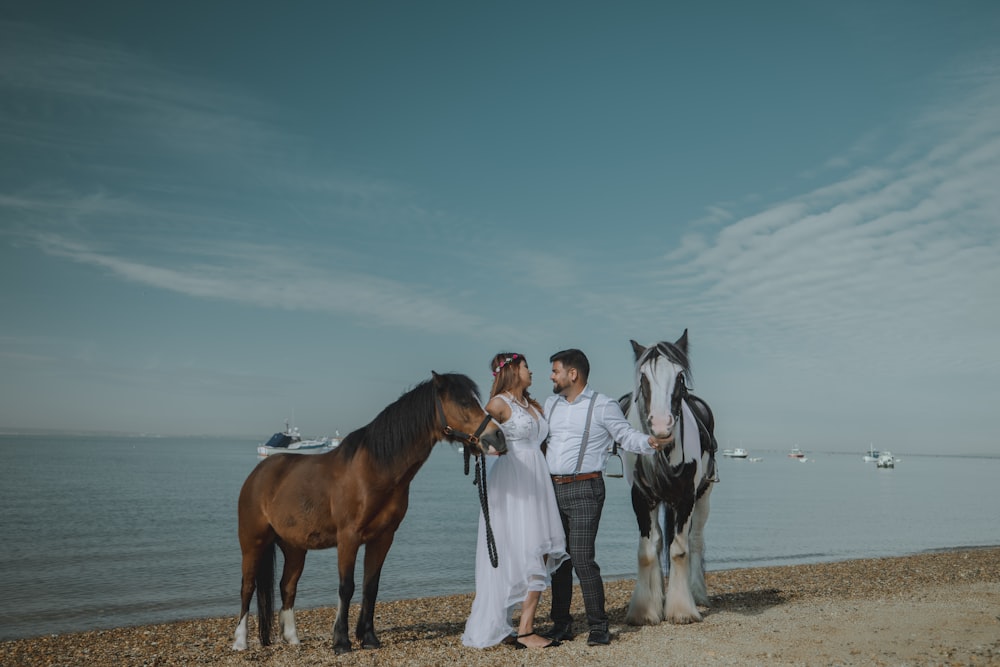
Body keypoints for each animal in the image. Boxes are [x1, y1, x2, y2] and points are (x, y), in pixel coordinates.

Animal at [230, 374, 504, 656]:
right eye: (462, 402)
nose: (497, 437)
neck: (373, 471)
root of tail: (258, 473)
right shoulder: (348, 538)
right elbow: (346, 587)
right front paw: (341, 641)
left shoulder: (382, 538)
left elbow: (371, 586)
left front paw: (369, 637)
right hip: (253, 542)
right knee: (247, 586)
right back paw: (240, 641)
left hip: (295, 547)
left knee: (288, 586)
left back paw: (292, 639)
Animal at [620, 332, 716, 628]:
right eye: (643, 377)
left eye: (680, 376)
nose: (661, 426)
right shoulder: (641, 497)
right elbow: (647, 550)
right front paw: (644, 611)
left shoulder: (685, 498)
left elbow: (679, 551)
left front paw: (682, 610)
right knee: (660, 540)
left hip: (704, 496)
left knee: (695, 541)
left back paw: (696, 594)